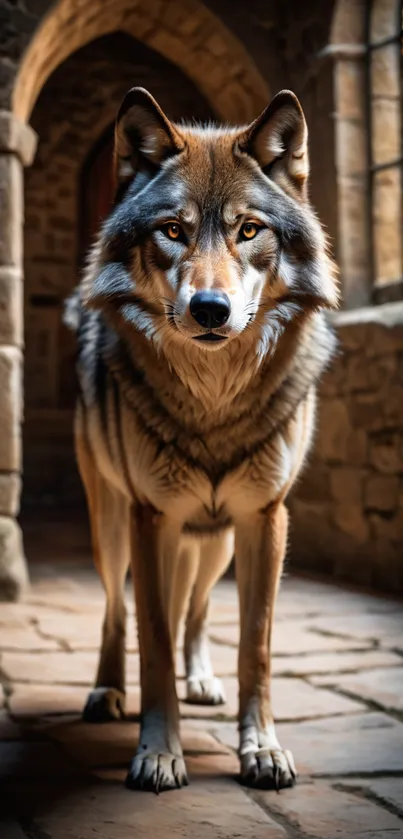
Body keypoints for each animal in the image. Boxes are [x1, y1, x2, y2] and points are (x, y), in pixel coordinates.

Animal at [65, 85, 338, 796]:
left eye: (249, 229)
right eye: (172, 230)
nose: (210, 310)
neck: (214, 402)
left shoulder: (265, 518)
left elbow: (255, 647)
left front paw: (261, 748)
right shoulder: (151, 517)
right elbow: (154, 640)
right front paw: (159, 753)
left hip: (213, 541)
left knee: (197, 610)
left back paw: (203, 680)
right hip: (114, 526)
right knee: (116, 611)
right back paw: (106, 691)